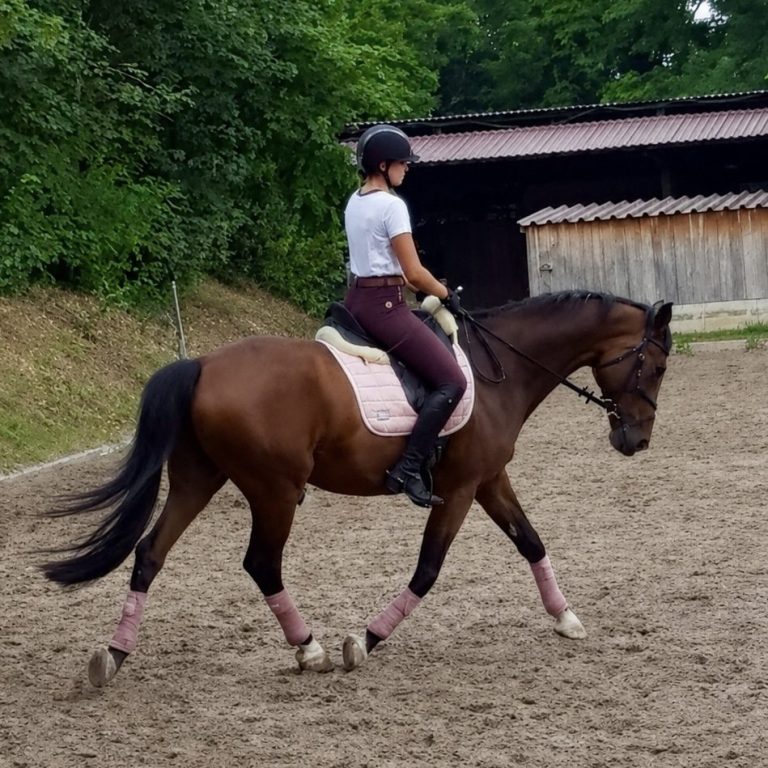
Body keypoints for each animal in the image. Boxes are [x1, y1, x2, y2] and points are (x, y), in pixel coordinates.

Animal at [41, 290, 673, 686]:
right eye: (660, 366)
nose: (637, 439)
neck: (501, 371)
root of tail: (201, 364)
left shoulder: (489, 479)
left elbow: (531, 542)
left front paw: (566, 619)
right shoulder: (461, 487)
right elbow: (428, 569)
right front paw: (364, 641)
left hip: (200, 479)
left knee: (150, 553)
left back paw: (114, 656)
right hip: (274, 489)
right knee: (261, 563)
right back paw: (311, 648)